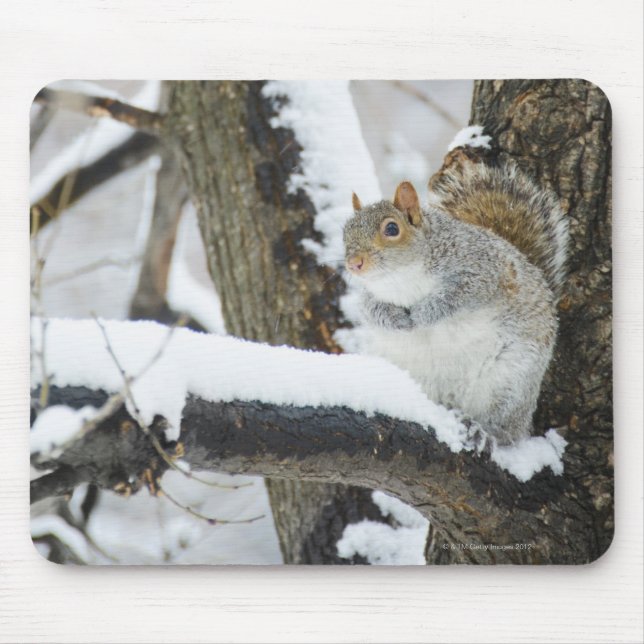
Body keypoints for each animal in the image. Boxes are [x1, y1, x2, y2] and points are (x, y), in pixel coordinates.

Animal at [343, 145, 568, 445]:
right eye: (345, 233)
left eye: (392, 228)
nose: (354, 263)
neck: (400, 280)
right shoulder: (369, 295)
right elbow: (372, 311)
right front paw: (395, 319)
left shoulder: (482, 273)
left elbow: (455, 297)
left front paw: (423, 314)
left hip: (510, 383)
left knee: (508, 432)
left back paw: (486, 432)